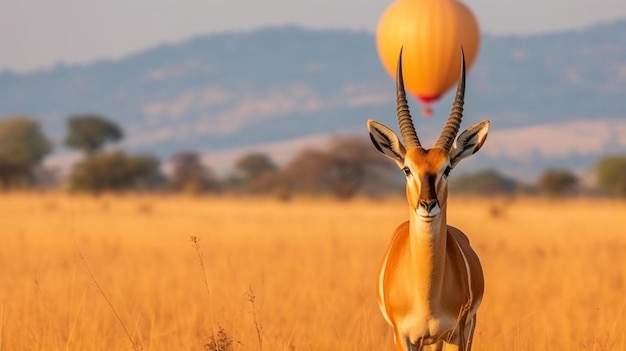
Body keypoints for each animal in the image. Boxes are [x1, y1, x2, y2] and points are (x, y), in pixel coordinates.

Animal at [366, 48, 488, 351]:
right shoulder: (403, 337)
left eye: (447, 168)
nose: (428, 205)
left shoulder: (458, 333)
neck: (426, 296)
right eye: (407, 169)